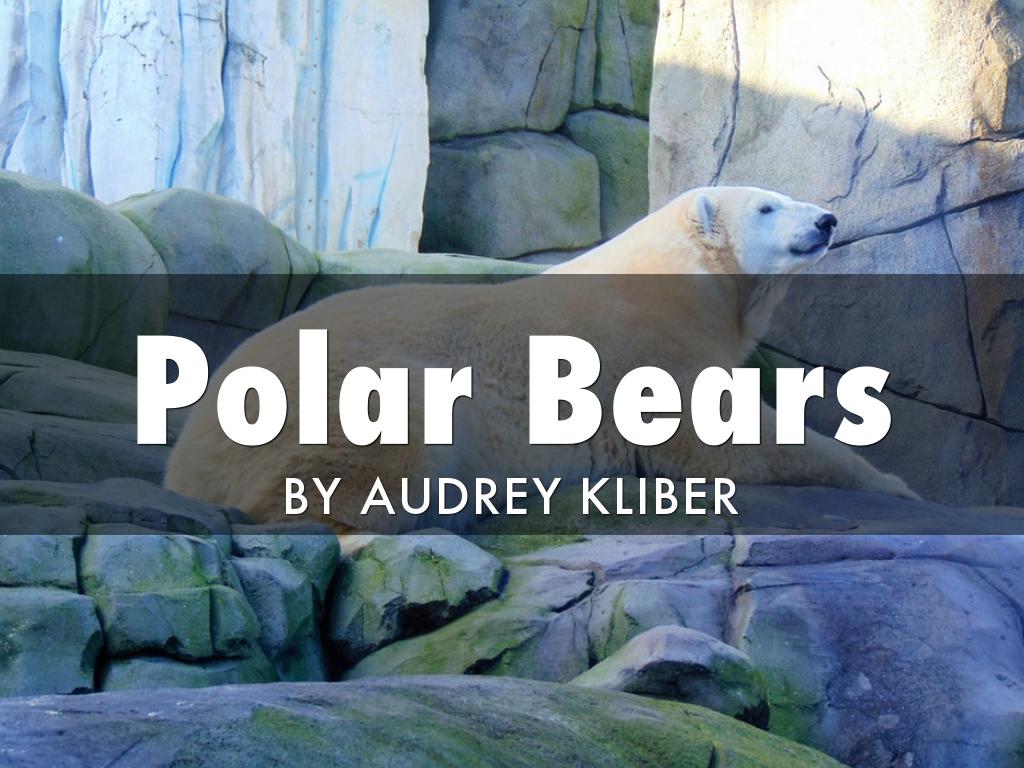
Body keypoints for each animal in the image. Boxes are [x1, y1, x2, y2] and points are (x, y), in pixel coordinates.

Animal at [164, 186, 916, 531]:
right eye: (766, 206)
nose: (825, 219)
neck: (683, 277)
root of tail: (188, 458)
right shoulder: (651, 344)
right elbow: (729, 438)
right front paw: (895, 484)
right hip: (332, 396)